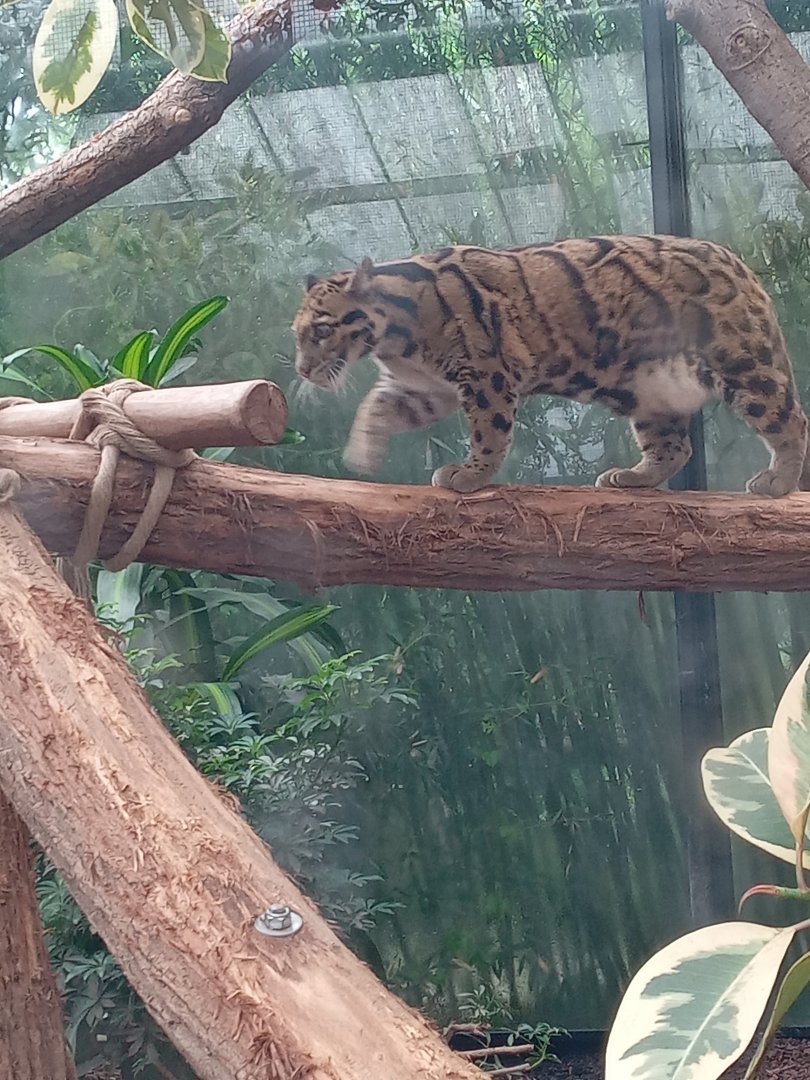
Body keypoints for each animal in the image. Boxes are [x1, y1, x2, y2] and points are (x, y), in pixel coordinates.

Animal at [292, 234, 810, 497]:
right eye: (296, 334)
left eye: (321, 330)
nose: (300, 370)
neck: (394, 339)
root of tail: (741, 264)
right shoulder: (425, 389)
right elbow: (375, 407)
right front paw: (360, 453)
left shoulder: (486, 375)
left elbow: (489, 433)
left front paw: (471, 475)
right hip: (649, 387)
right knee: (674, 447)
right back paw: (634, 477)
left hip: (743, 361)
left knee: (791, 421)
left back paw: (779, 482)